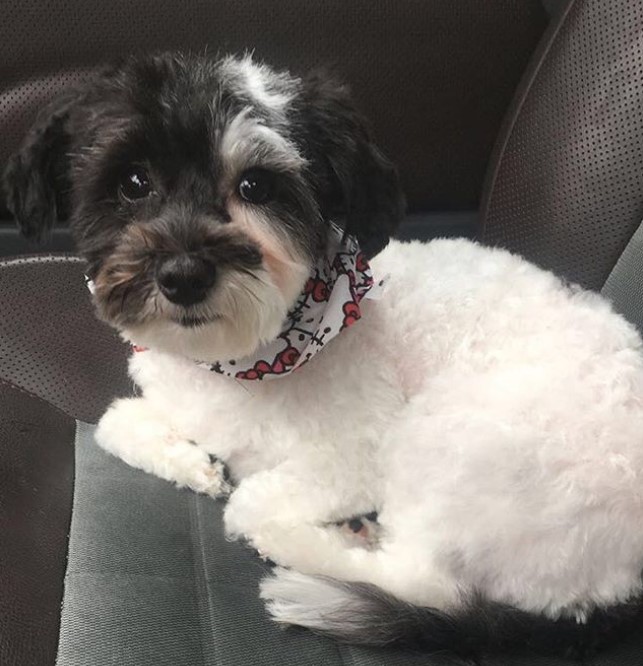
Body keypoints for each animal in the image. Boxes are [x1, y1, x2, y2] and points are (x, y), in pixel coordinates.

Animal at [5, 53, 643, 660]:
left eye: (255, 187)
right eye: (133, 182)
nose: (184, 275)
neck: (241, 361)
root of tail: (613, 593)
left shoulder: (357, 454)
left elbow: (249, 501)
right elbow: (113, 420)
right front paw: (193, 463)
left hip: (453, 443)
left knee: (421, 580)